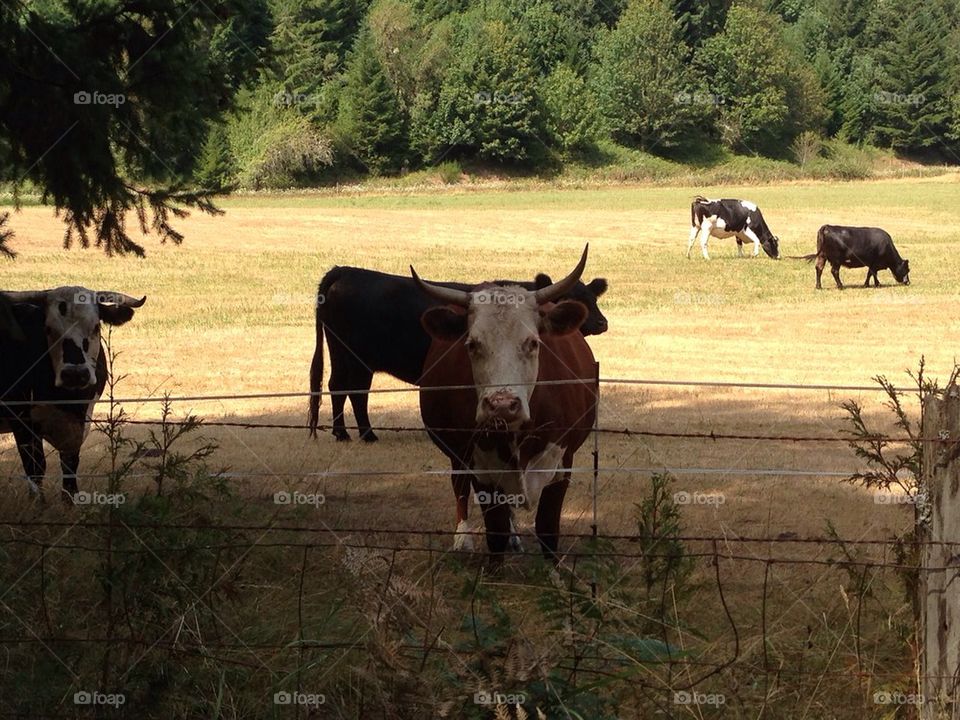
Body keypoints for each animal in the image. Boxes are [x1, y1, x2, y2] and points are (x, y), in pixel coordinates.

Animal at [0, 287, 145, 499]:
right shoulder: (20, 418)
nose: (75, 374)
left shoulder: (80, 420)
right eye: (48, 329)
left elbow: (70, 465)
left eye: (96, 327)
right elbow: (35, 469)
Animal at [308, 267, 608, 442]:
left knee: (343, 388)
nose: (602, 322)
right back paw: (356, 434)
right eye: (571, 298)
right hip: (353, 358)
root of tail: (345, 271)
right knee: (348, 389)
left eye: (593, 298)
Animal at [413, 247, 598, 564]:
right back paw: (463, 537)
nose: (502, 405)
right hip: (457, 455)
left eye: (533, 342)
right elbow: (495, 530)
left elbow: (548, 528)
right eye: (472, 344)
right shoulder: (481, 469)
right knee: (459, 487)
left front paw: (553, 573)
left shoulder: (563, 462)